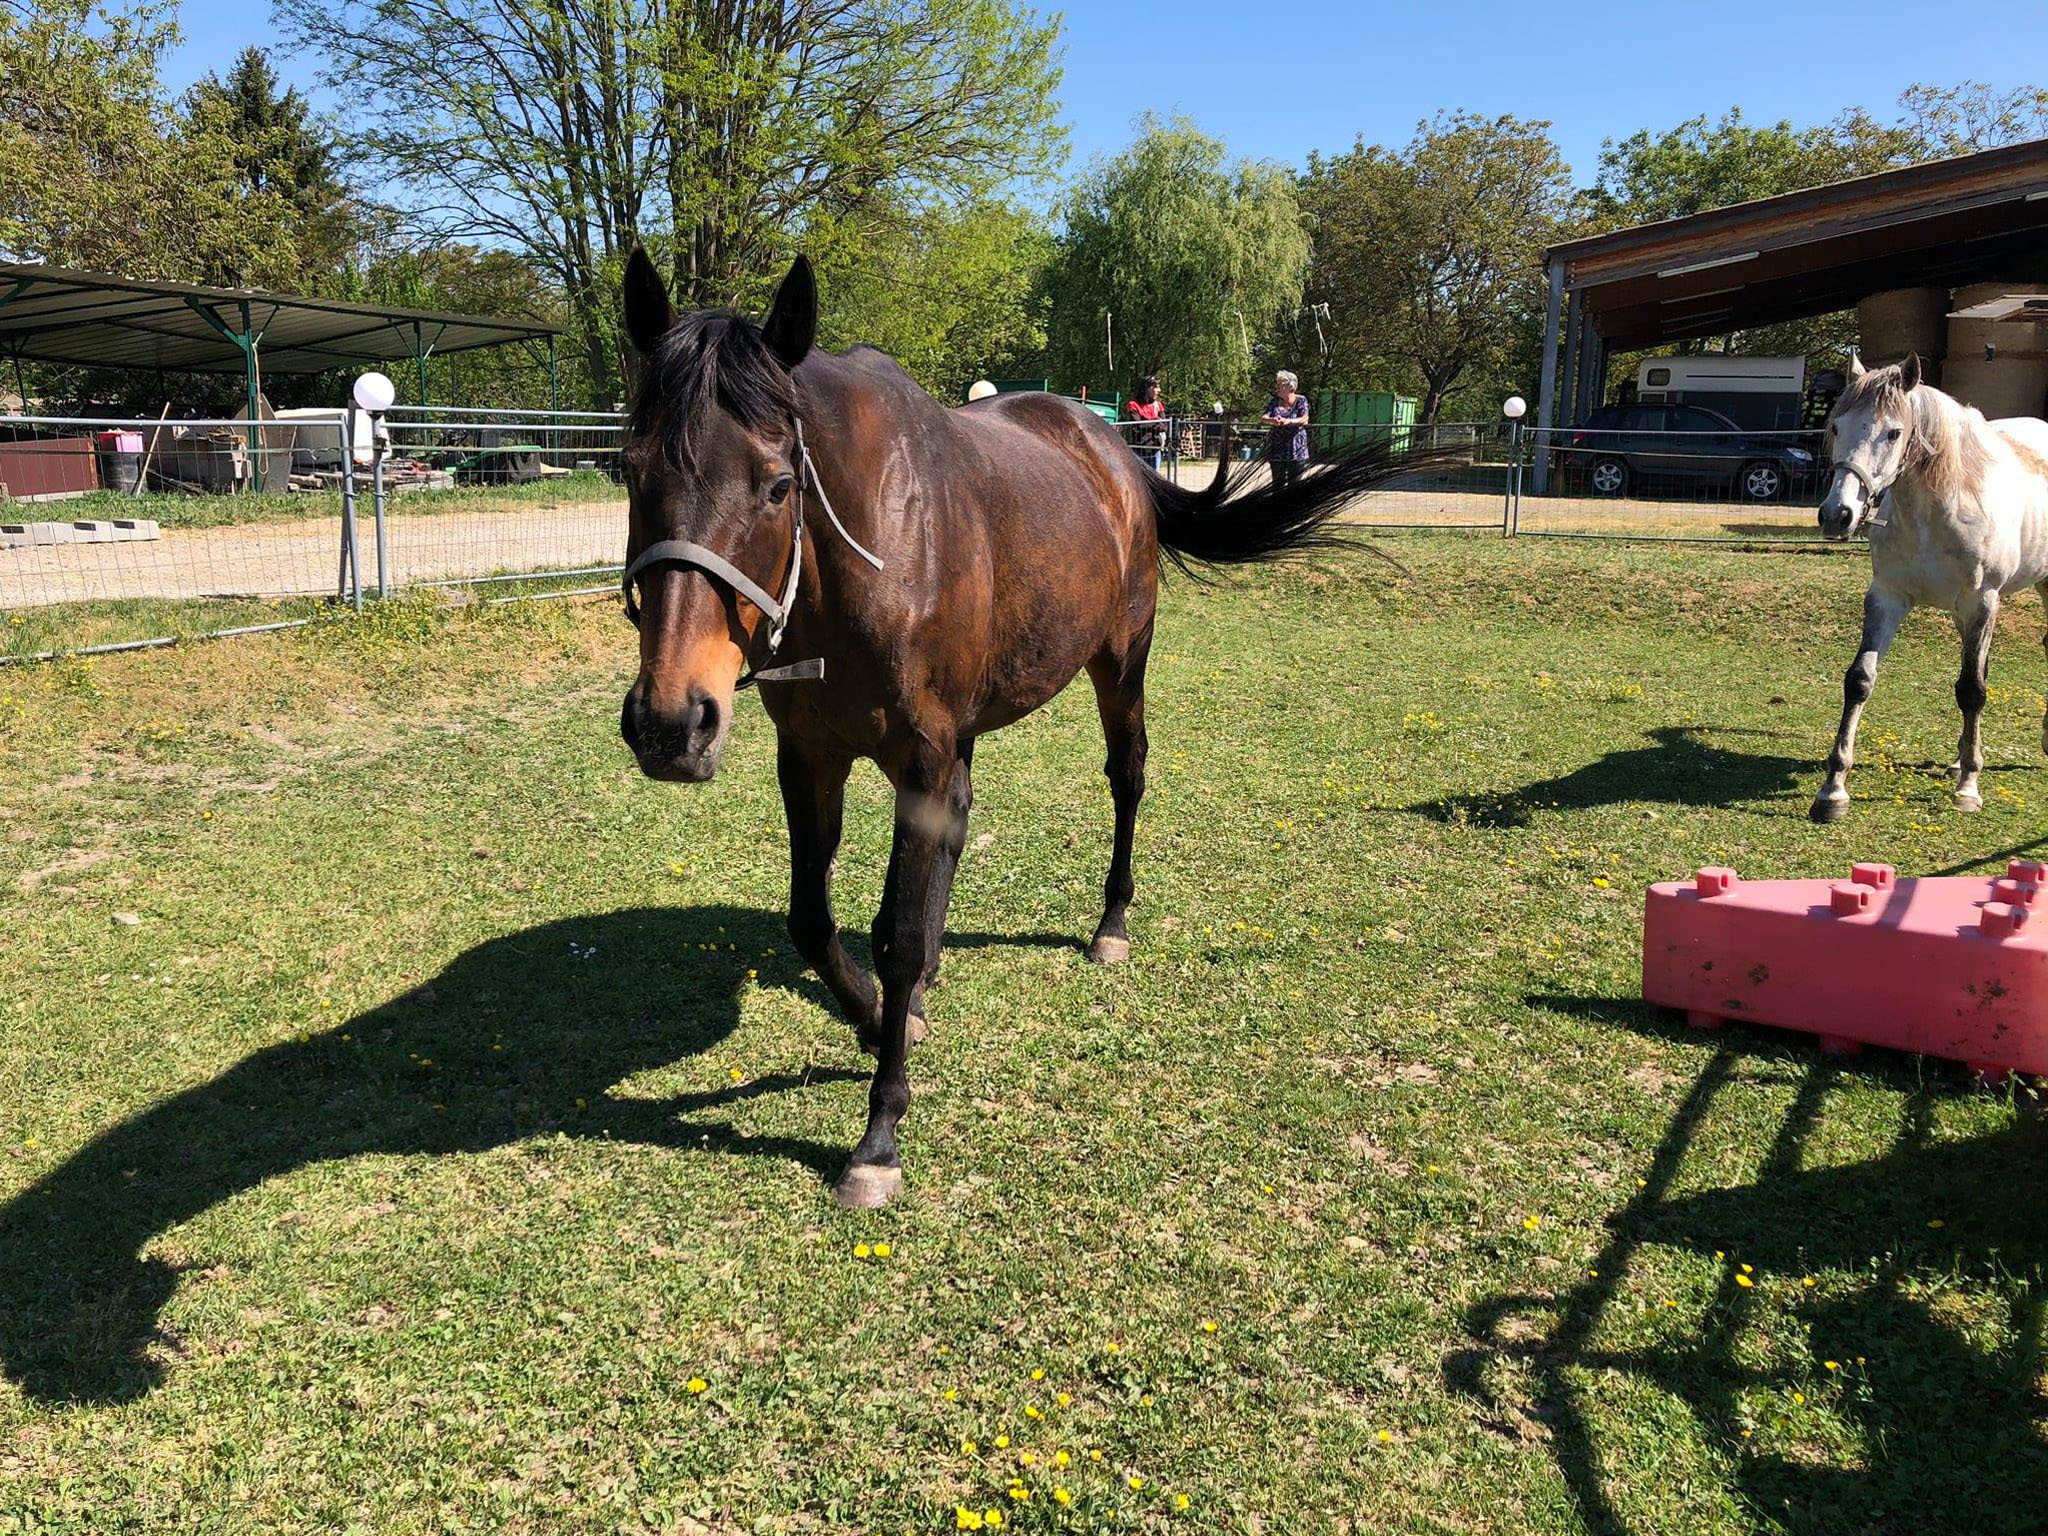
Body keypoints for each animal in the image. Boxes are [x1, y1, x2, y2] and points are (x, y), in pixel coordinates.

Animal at [614, 256, 1400, 1212]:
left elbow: (894, 933)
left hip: (1119, 663)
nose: (669, 722)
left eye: (776, 483)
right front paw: (882, 1018)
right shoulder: (811, 756)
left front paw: (880, 1129)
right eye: (629, 471)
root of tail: (1115, 455)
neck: (869, 554)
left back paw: (1110, 923)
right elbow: (814, 921)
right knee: (960, 817)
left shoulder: (918, 754)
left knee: (1127, 775)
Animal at [1810, 354, 2048, 823]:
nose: (1837, 515)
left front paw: (1969, 788)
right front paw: (1833, 790)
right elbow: (1860, 680)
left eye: (1893, 432)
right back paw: (1959, 758)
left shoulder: (1980, 602)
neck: (1940, 509)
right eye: (1836, 427)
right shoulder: (1887, 597)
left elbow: (1972, 691)